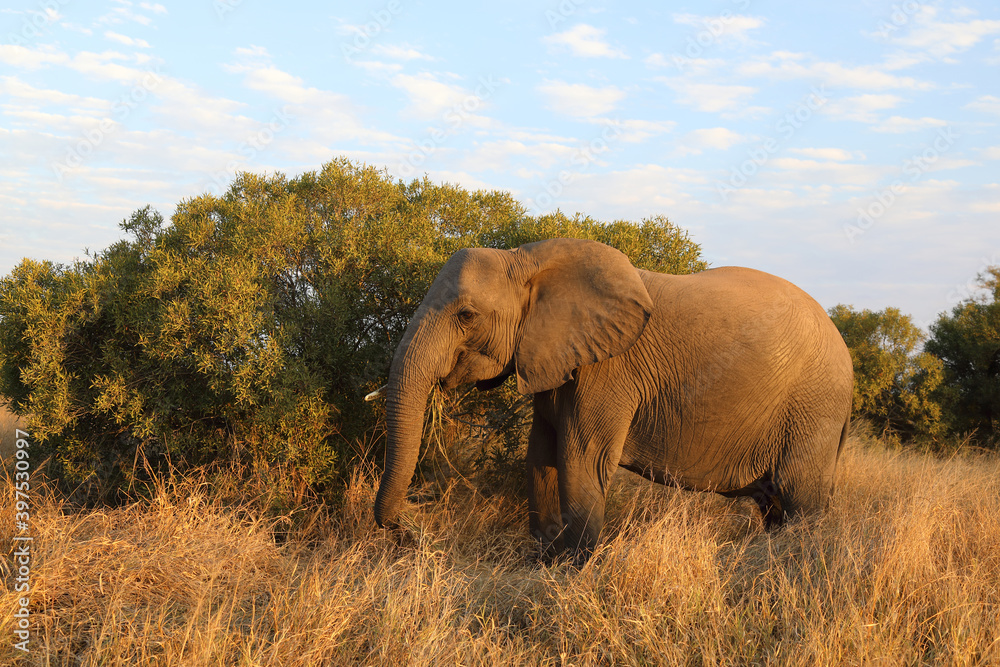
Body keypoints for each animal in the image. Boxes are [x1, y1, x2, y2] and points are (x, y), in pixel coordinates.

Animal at [373, 238, 853, 562]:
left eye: (466, 315)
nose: (408, 534)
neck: (529, 260)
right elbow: (541, 455)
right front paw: (544, 560)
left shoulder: (608, 370)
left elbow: (580, 458)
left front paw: (568, 571)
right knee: (776, 504)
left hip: (814, 407)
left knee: (799, 499)